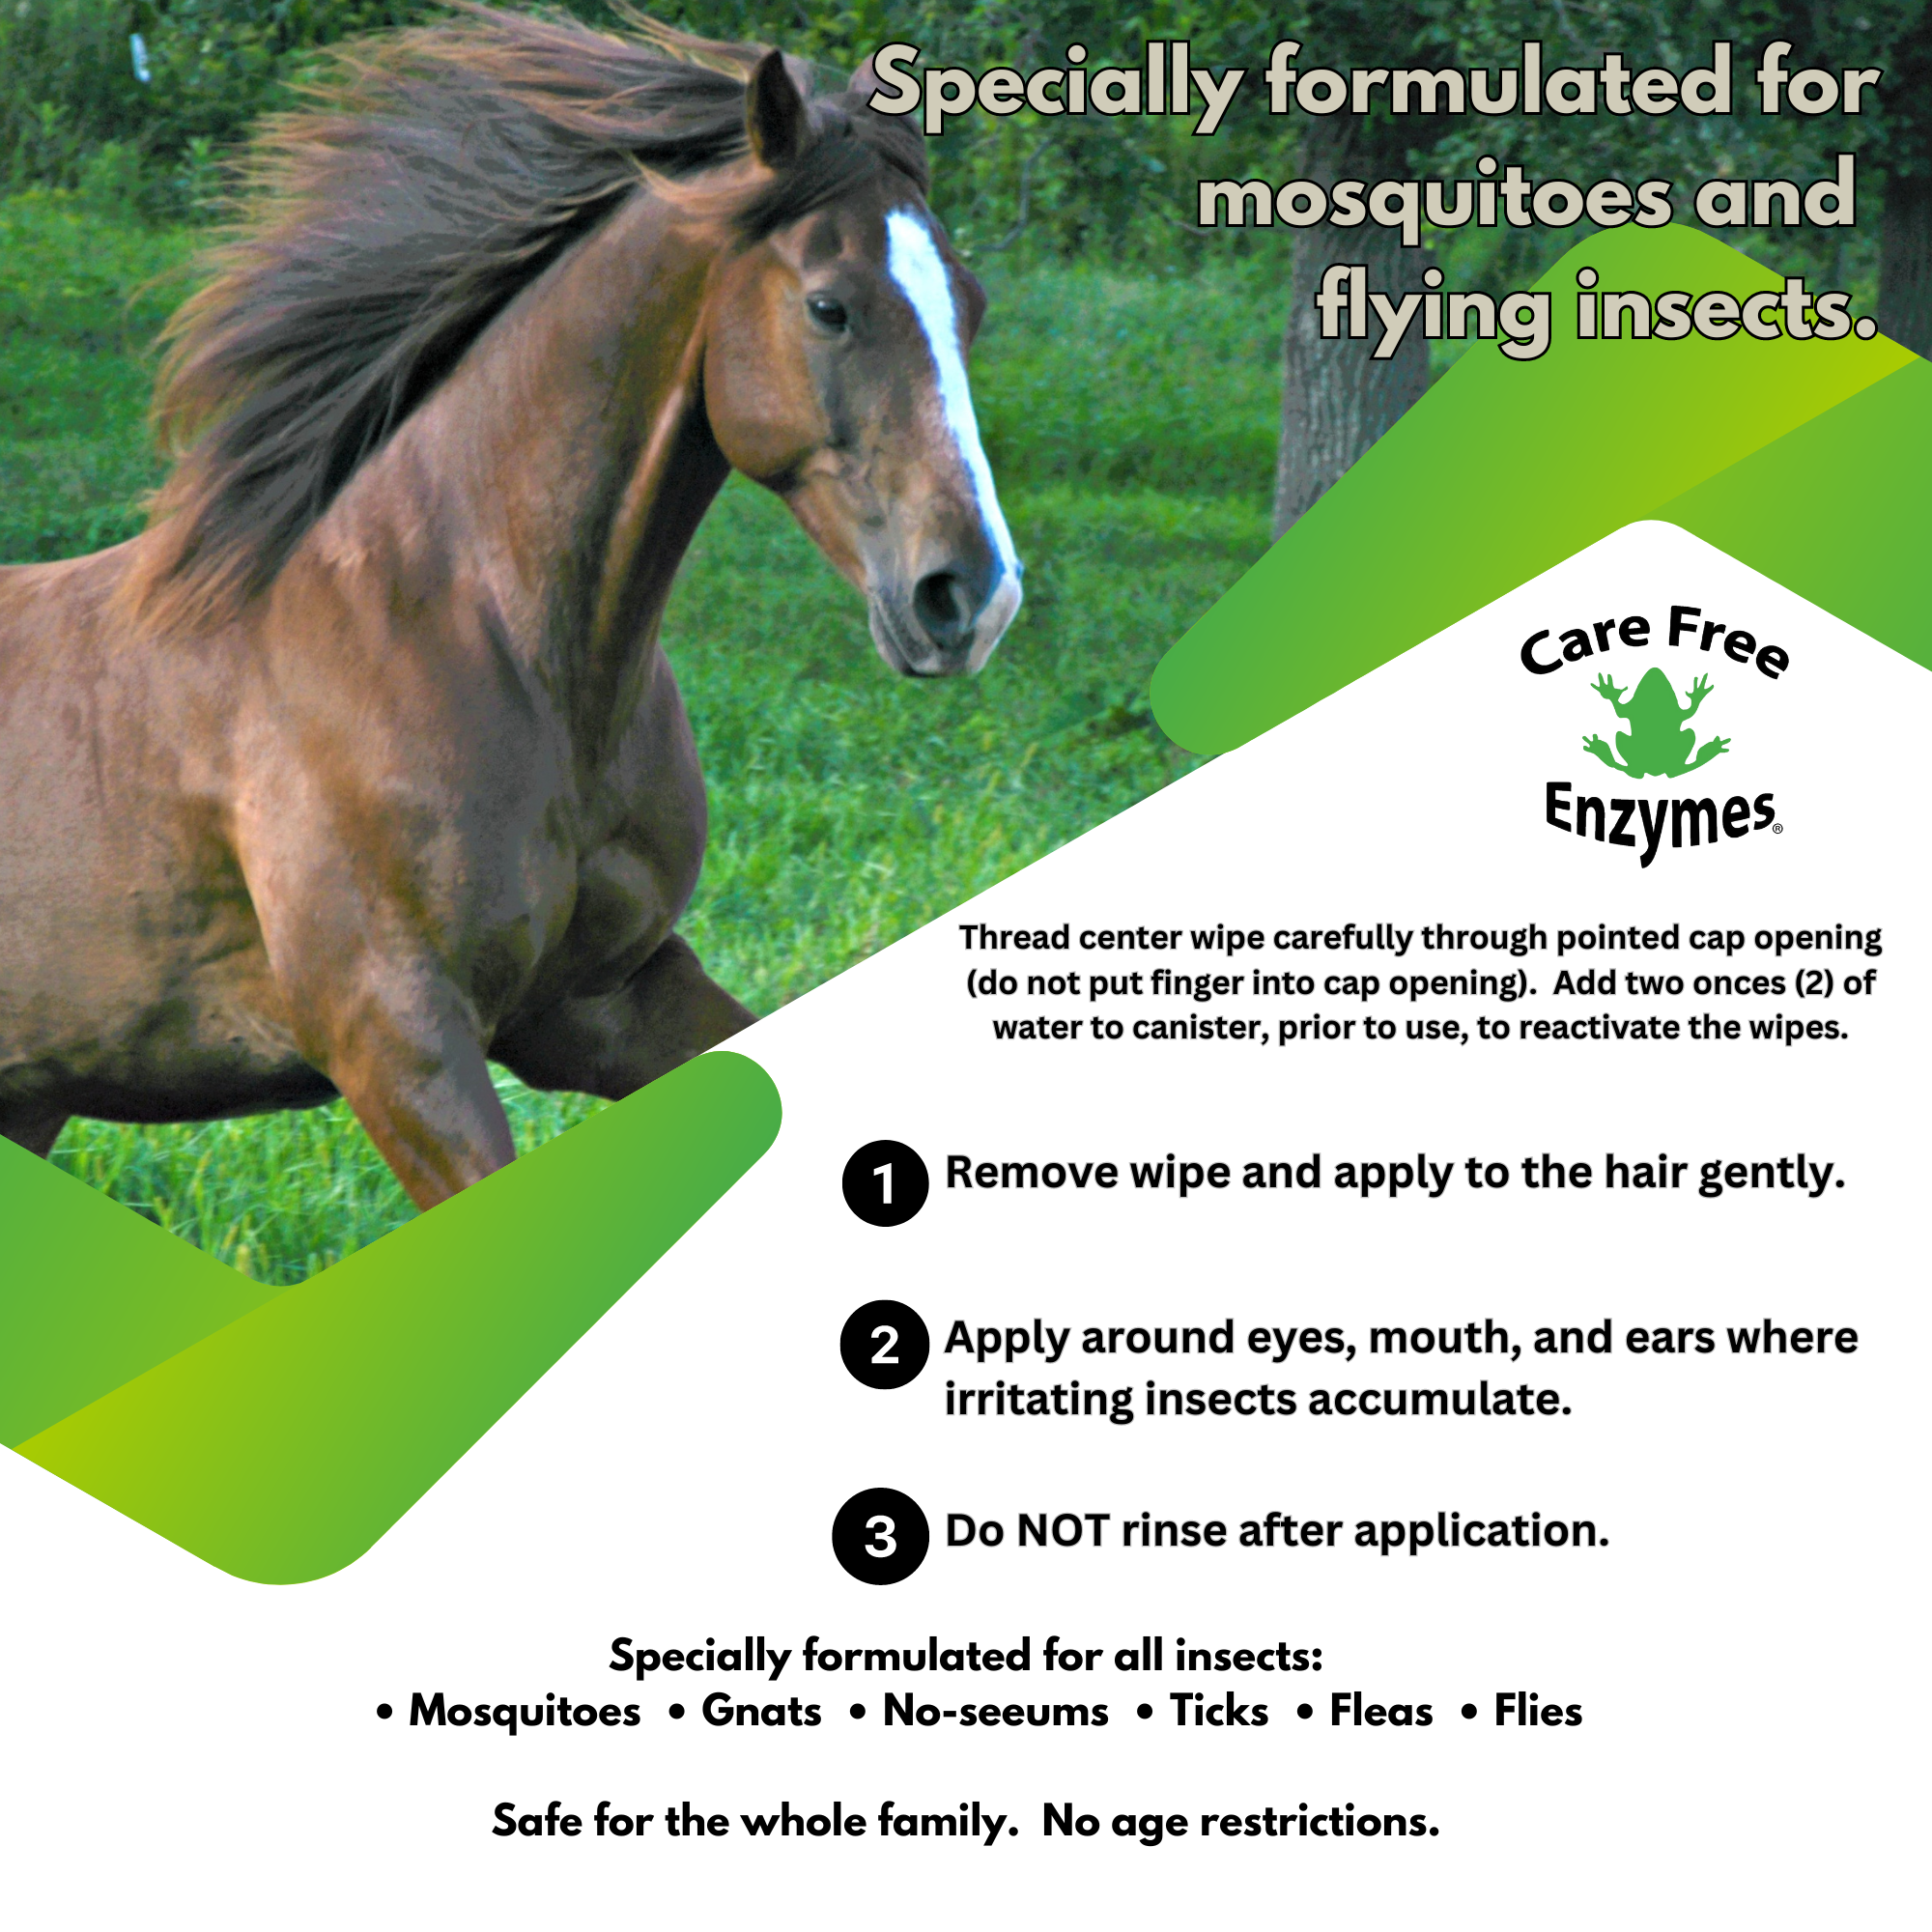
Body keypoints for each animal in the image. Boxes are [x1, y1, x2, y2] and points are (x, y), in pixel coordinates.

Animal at [0, 10, 1021, 1212]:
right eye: (830, 305)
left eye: (969, 304)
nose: (969, 595)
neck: (482, 641)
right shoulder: (399, 1039)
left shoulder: (602, 998)